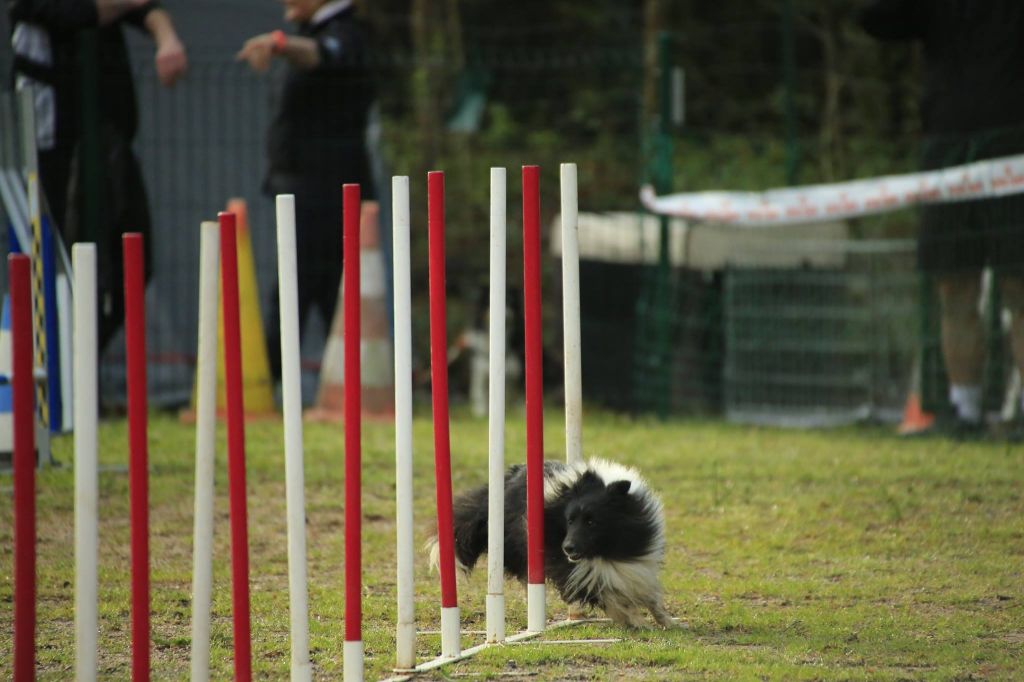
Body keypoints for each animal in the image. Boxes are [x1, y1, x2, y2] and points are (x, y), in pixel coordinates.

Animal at [430, 456, 675, 626]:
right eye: (569, 520)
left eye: (591, 522)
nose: (568, 548)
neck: (604, 551)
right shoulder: (571, 569)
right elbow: (608, 596)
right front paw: (637, 621)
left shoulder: (635, 562)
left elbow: (648, 595)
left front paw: (667, 621)